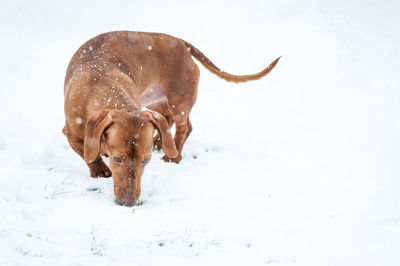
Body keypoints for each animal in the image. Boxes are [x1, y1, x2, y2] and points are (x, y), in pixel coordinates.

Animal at [63, 31, 282, 206]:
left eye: (146, 160)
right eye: (117, 159)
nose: (130, 202)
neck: (101, 83)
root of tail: (180, 43)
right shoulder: (72, 134)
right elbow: (88, 154)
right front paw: (100, 171)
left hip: (179, 101)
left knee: (183, 127)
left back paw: (172, 155)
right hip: (157, 102)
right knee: (169, 121)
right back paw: (161, 142)